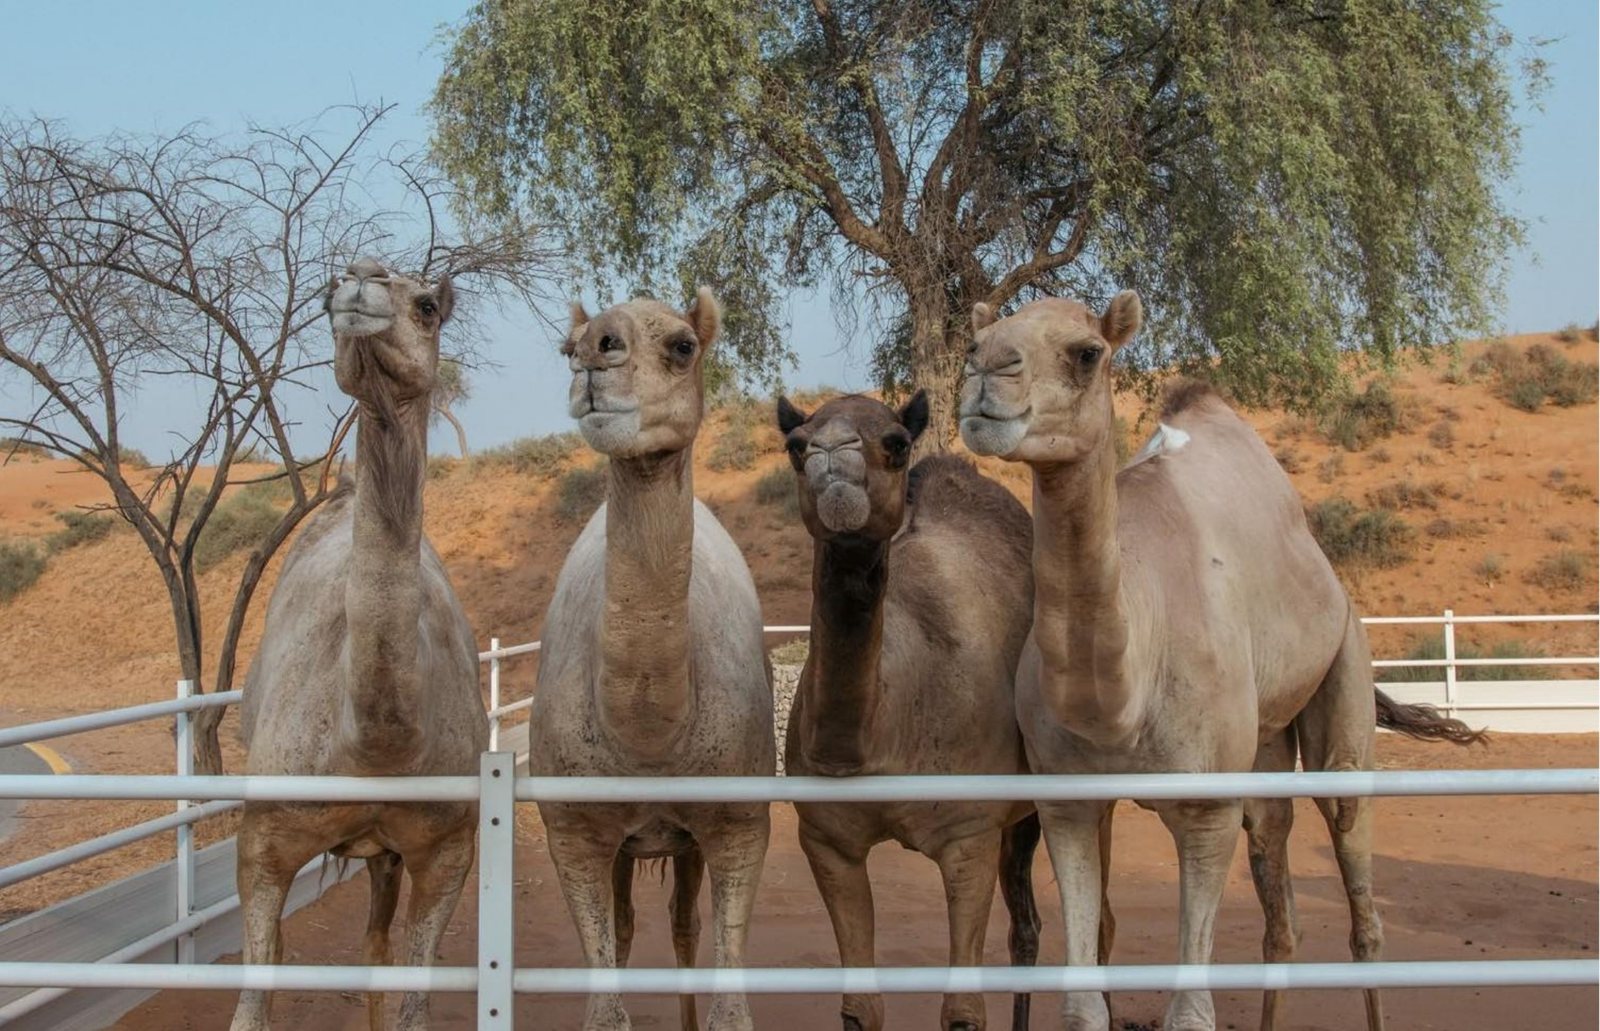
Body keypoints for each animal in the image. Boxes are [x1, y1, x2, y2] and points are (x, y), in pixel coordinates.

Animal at [231, 257, 487, 1031]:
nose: (356, 287)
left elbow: (412, 992)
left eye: (428, 305)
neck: (375, 746)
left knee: (375, 943)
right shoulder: (263, 842)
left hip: (386, 854)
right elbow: (255, 993)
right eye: (330, 286)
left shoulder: (445, 850)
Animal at [529, 289, 774, 1031]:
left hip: (687, 840)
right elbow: (605, 1005)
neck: (647, 740)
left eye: (682, 346)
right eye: (567, 344)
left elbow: (731, 1008)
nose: (593, 349)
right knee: (635, 925)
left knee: (685, 927)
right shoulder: (573, 830)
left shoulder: (740, 823)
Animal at [775, 390, 1058, 1031]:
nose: (832, 457)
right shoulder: (827, 842)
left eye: (896, 443)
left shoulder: (968, 838)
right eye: (796, 446)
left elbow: (963, 1010)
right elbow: (859, 1006)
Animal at [959, 293, 1479, 1031]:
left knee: (1359, 890)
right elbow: (1083, 1001)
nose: (984, 374)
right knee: (1279, 906)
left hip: (1345, 671)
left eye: (1087, 352)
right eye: (976, 340)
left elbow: (1191, 1011)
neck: (1122, 702)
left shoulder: (1207, 809)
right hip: (1262, 745)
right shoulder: (1068, 802)